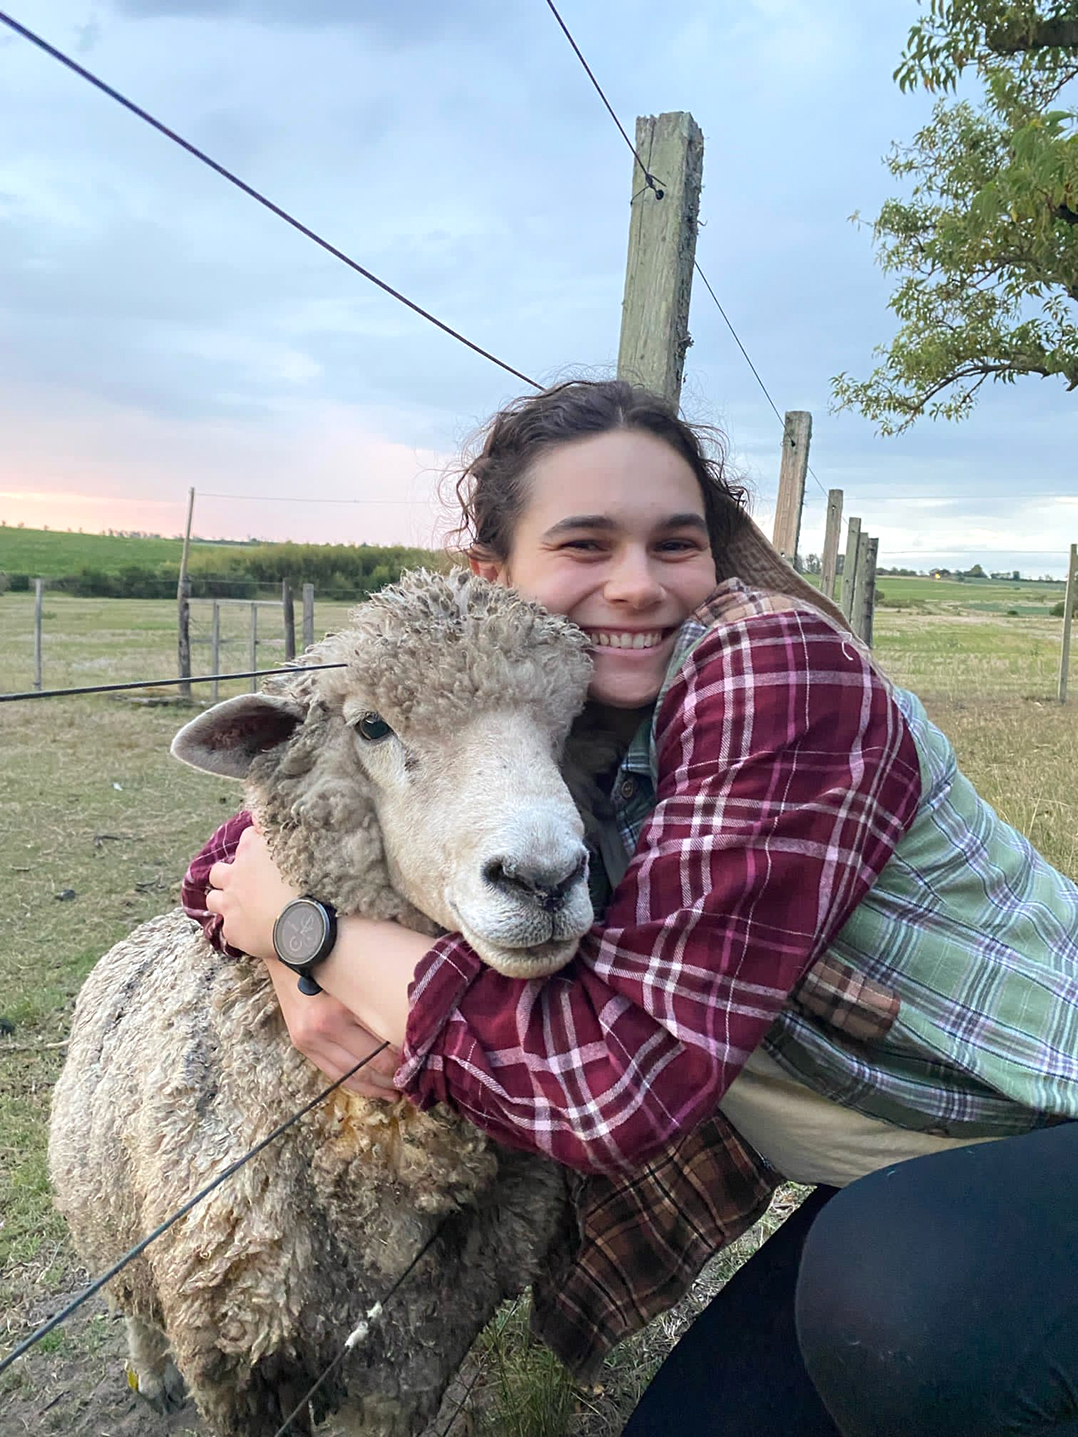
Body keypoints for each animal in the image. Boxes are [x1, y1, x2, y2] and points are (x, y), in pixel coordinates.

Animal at [48, 569, 597, 1437]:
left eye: (568, 724)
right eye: (371, 725)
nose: (543, 878)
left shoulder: (410, 1356)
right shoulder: (240, 1361)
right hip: (110, 1212)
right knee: (132, 1298)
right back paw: (151, 1372)